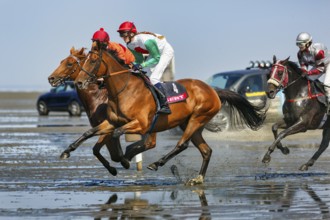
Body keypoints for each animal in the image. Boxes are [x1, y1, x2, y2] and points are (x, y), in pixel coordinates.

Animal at [63, 40, 266, 185]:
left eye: (93, 61)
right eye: (83, 61)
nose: (79, 82)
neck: (123, 90)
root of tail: (213, 90)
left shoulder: (141, 124)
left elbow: (115, 134)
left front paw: (124, 159)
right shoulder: (112, 121)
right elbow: (89, 132)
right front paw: (66, 151)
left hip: (197, 118)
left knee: (182, 145)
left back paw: (156, 163)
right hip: (190, 124)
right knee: (206, 150)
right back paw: (198, 178)